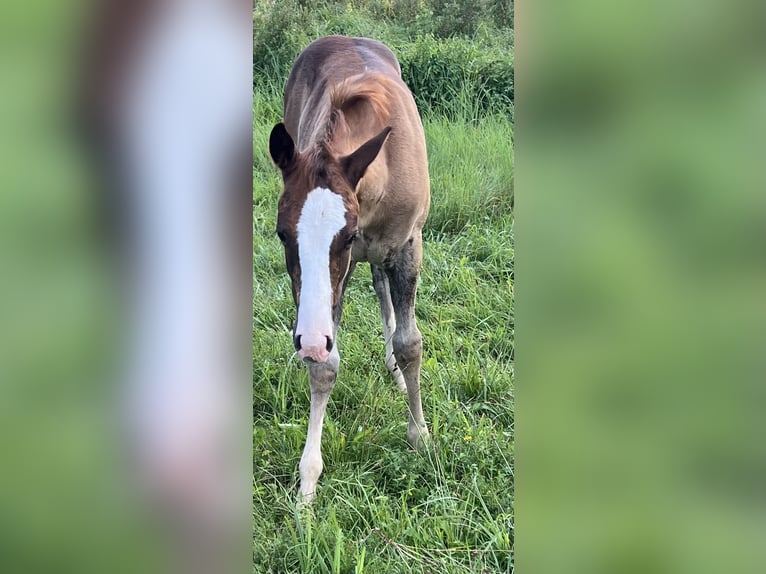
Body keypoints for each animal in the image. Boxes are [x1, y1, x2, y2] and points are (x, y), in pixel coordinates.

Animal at [269, 35, 432, 506]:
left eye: (346, 234)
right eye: (282, 233)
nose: (307, 342)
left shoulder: (407, 246)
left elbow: (410, 343)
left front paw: (420, 435)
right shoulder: (326, 289)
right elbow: (325, 366)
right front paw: (307, 482)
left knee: (381, 289)